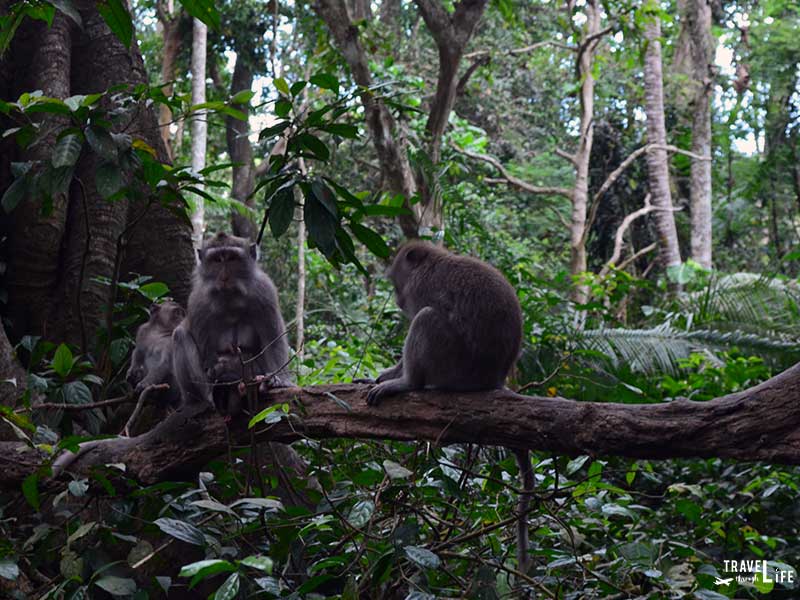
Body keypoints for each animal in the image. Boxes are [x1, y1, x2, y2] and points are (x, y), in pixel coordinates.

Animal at [368, 239, 532, 572]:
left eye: (396, 279)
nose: (397, 298)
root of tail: (493, 378)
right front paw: (386, 373)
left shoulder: (420, 289)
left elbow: (423, 314)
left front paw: (396, 377)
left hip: (455, 365)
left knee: (427, 318)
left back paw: (409, 383)